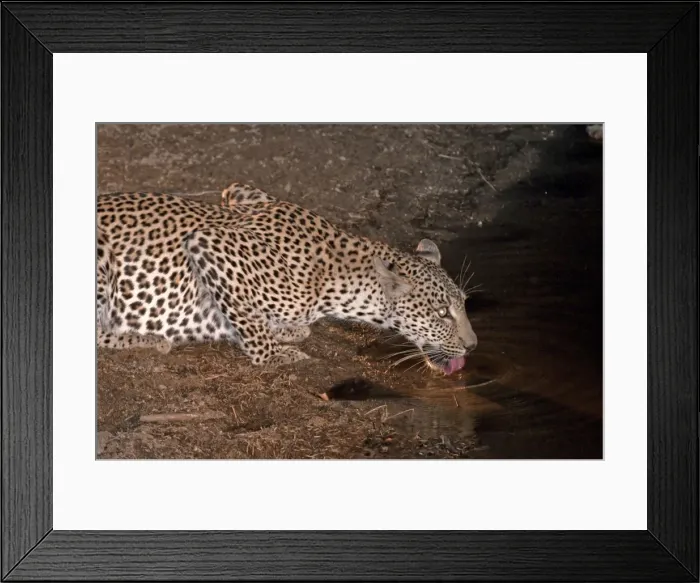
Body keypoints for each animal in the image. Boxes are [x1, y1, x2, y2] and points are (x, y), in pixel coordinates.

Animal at [97, 182, 478, 374]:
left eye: (463, 304)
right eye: (442, 313)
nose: (473, 346)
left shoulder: (242, 193)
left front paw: (286, 331)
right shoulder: (209, 242)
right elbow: (251, 324)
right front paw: (274, 354)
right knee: (98, 333)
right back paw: (146, 338)